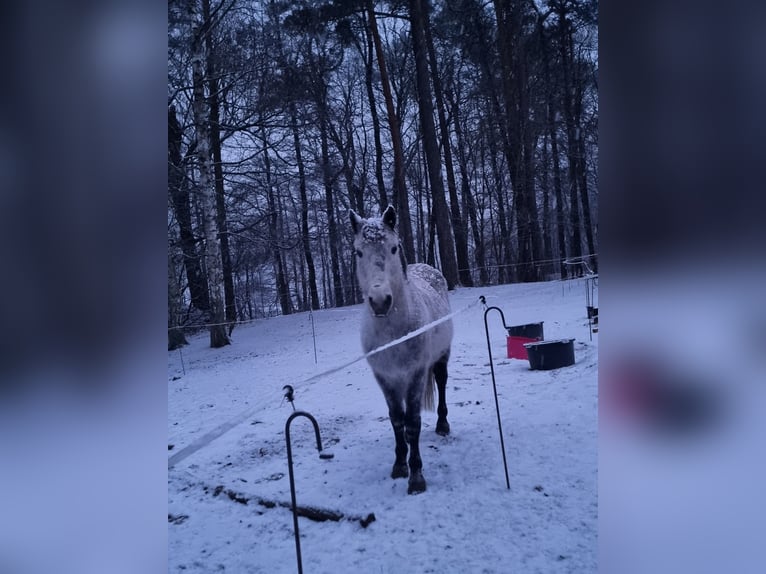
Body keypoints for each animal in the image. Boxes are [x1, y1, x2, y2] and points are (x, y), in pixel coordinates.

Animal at [349, 205, 453, 494]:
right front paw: (399, 465)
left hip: (441, 357)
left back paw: (442, 425)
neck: (393, 335)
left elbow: (413, 423)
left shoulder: (416, 374)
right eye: (358, 252)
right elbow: (397, 419)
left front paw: (416, 476)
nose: (380, 301)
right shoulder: (385, 377)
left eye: (394, 248)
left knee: (442, 383)